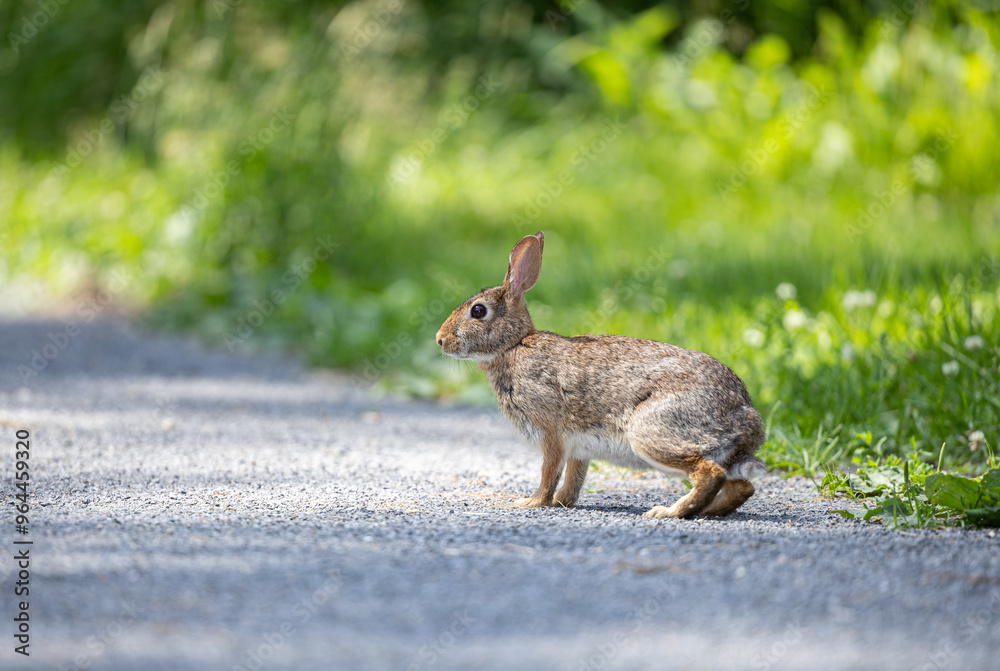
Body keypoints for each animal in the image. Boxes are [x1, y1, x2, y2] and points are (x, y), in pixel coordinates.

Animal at [435, 232, 766, 518]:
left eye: (478, 311)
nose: (440, 340)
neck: (514, 345)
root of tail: (745, 416)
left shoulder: (552, 432)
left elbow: (549, 471)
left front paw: (530, 503)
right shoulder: (579, 447)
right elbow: (573, 478)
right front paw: (561, 502)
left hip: (651, 433)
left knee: (710, 474)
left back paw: (668, 512)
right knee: (742, 486)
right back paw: (705, 511)